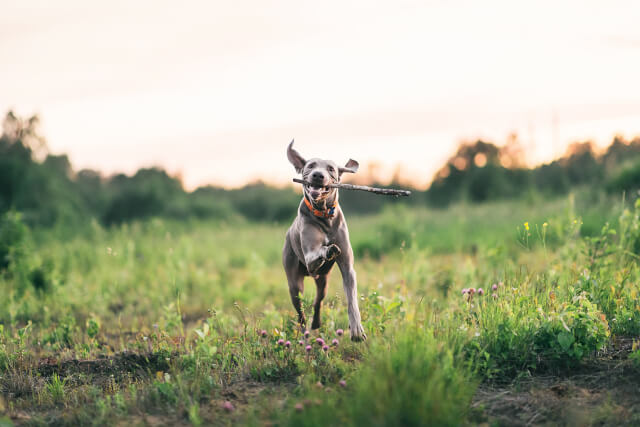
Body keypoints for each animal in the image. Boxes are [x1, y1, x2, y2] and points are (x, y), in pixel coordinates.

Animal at [284, 142, 368, 342]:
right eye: (310, 166)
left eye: (330, 168)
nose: (318, 175)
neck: (324, 215)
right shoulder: (309, 258)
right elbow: (320, 250)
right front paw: (328, 249)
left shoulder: (348, 268)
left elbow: (352, 299)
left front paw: (356, 330)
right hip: (294, 283)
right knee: (301, 314)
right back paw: (305, 335)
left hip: (323, 281)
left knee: (318, 300)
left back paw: (316, 323)